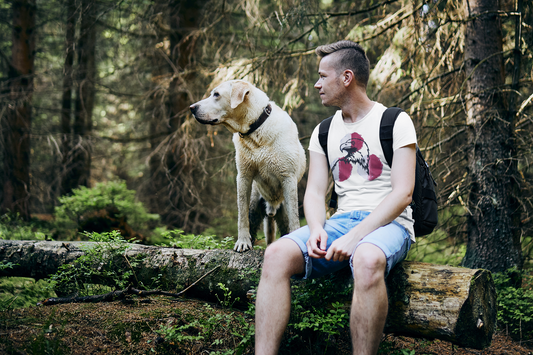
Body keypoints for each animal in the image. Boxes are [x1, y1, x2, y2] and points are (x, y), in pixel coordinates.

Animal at [190, 80, 306, 253]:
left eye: (216, 94)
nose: (191, 107)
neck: (256, 131)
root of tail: (271, 207)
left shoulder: (288, 179)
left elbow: (295, 220)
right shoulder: (244, 177)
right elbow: (242, 216)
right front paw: (242, 242)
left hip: (282, 208)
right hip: (255, 204)